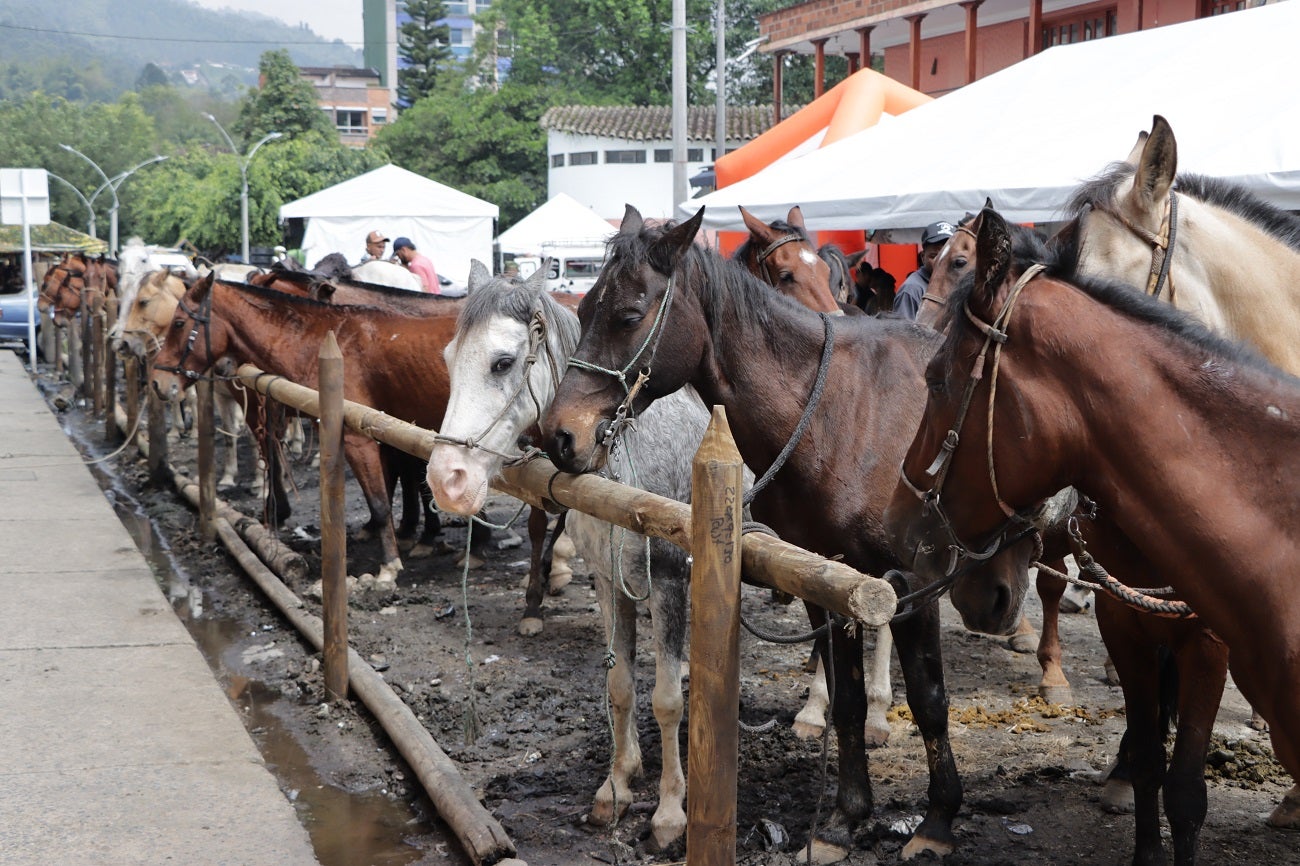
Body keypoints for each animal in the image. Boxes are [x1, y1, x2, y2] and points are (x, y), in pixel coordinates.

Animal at [426, 261, 710, 850]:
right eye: (448, 359)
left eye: (502, 362)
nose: (447, 481)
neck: (619, 475)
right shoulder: (607, 581)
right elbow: (620, 685)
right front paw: (617, 785)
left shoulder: (670, 584)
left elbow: (667, 700)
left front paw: (670, 813)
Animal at [541, 204, 995, 862]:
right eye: (581, 311)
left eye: (628, 315)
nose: (559, 435)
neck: (843, 413)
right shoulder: (825, 576)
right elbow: (846, 701)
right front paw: (845, 817)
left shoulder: (914, 579)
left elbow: (930, 701)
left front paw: (937, 819)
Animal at [883, 207, 1300, 860]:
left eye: (935, 379)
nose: (900, 527)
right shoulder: (1123, 623)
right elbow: (1153, 762)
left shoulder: (1207, 642)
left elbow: (1186, 788)